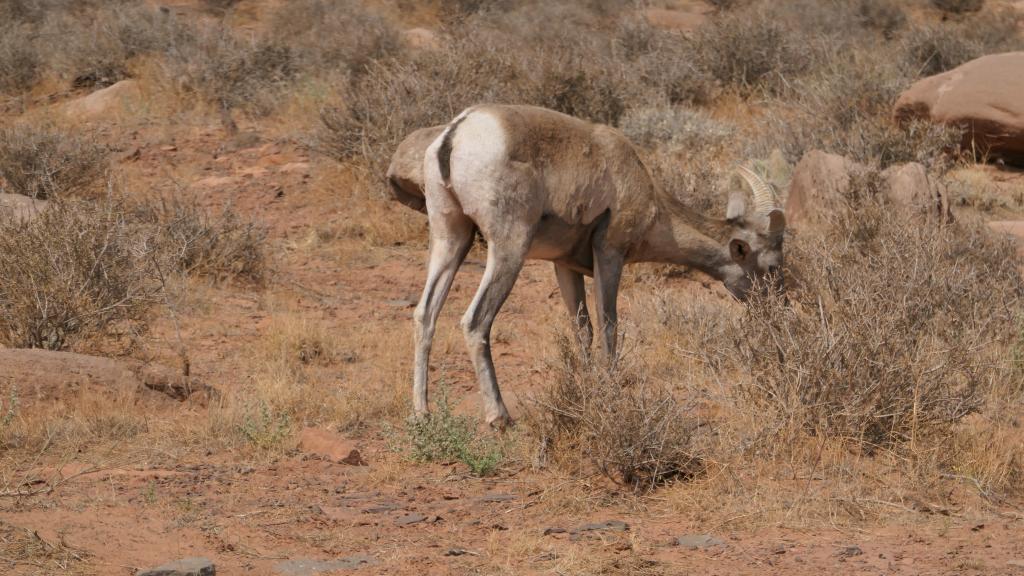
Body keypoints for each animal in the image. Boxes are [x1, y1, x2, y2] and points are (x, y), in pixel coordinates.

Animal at [391, 104, 782, 426]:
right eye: (773, 265)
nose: (775, 313)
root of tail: (456, 133)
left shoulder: (565, 268)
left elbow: (583, 330)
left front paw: (584, 387)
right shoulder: (609, 255)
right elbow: (609, 324)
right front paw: (610, 389)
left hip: (451, 239)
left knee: (425, 315)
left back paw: (422, 413)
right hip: (507, 251)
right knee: (475, 321)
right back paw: (499, 418)